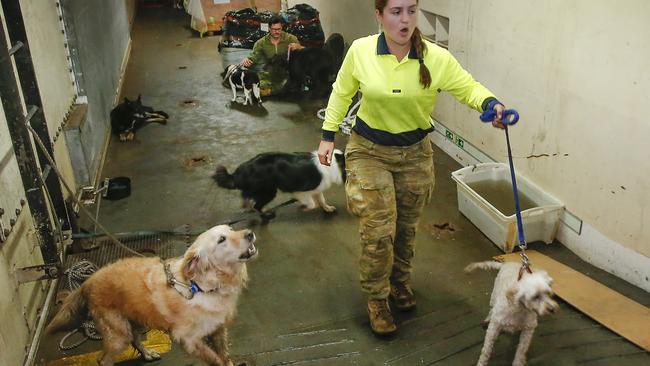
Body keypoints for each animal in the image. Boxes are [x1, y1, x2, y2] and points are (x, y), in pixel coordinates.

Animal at [46, 224, 256, 364]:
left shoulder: (218, 329)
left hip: (137, 320)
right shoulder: (189, 339)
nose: (250, 233)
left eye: (231, 229)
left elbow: (224, 356)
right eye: (221, 240)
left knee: (135, 340)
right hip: (118, 335)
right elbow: (216, 359)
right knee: (104, 359)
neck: (202, 286)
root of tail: (88, 282)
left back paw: (148, 354)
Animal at [213, 150, 344, 214]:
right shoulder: (299, 191)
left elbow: (321, 199)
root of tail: (245, 168)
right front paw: (303, 208)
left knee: (247, 197)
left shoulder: (317, 188)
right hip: (269, 191)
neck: (333, 163)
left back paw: (247, 206)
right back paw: (265, 213)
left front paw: (327, 208)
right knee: (257, 206)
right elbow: (312, 204)